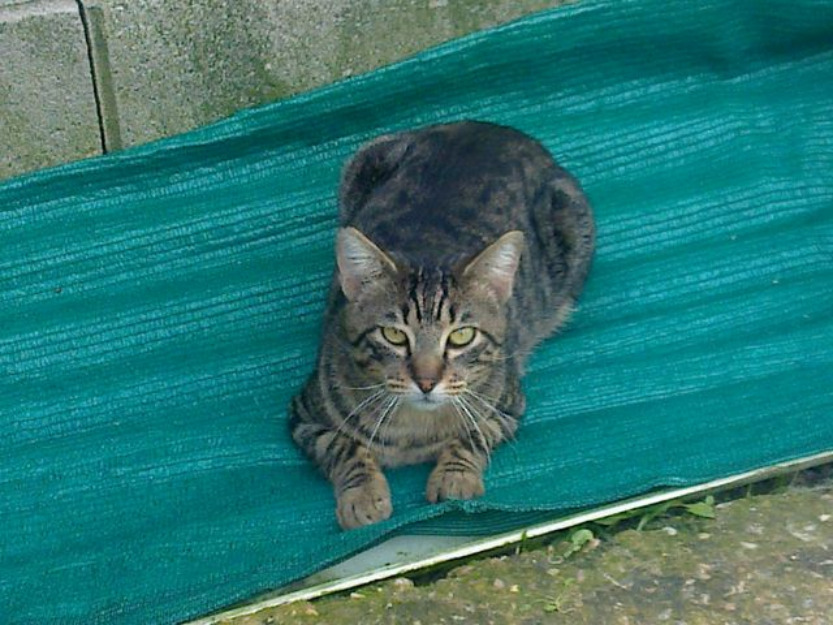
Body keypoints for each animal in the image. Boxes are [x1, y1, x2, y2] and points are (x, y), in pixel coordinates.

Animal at [290, 120, 596, 528]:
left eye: (462, 336)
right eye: (393, 335)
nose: (426, 381)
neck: (412, 430)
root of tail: (497, 130)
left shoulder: (509, 406)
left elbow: (473, 436)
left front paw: (455, 476)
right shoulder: (303, 414)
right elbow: (342, 446)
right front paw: (363, 495)